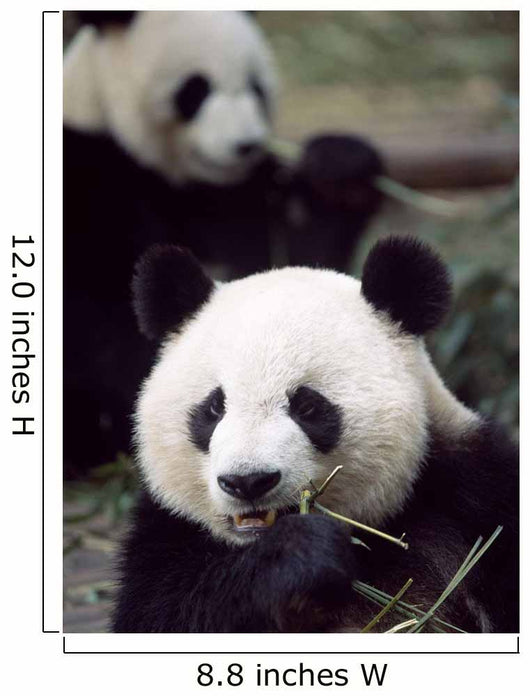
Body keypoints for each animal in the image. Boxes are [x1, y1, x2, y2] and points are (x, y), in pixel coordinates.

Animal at [63, 10, 384, 473]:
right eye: (195, 90)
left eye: (256, 87)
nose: (245, 144)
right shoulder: (87, 180)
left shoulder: (237, 196)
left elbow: (291, 265)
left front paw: (341, 171)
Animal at [112, 236, 518, 633]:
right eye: (214, 407)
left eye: (306, 406)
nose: (248, 481)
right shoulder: (166, 537)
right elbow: (168, 612)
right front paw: (301, 556)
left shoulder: (473, 493)